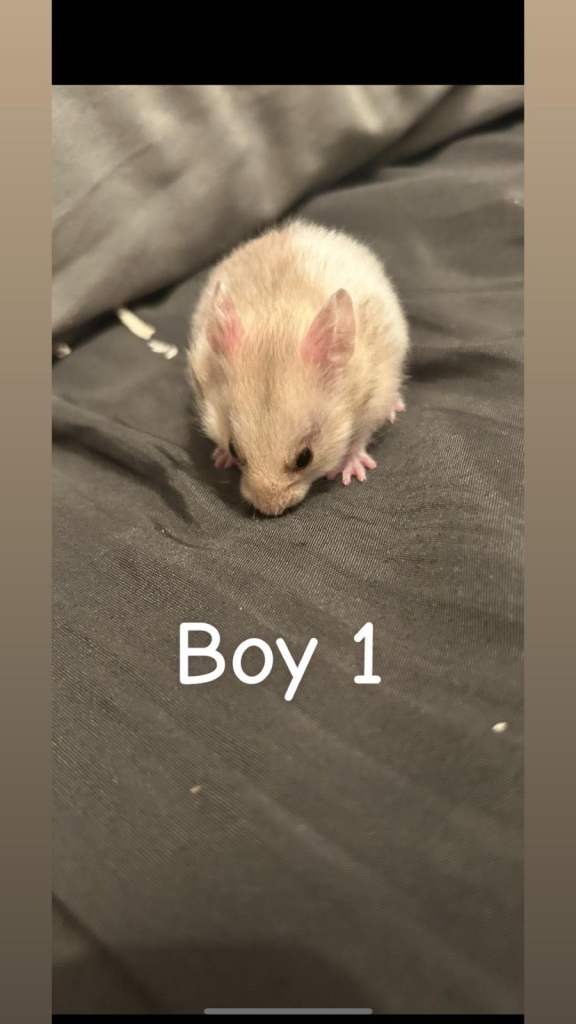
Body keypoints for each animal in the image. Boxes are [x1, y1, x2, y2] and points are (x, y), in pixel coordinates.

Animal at [187, 219, 409, 516]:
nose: (269, 511)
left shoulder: (373, 395)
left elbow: (359, 439)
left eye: (305, 458)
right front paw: (220, 459)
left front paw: (350, 473)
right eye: (234, 448)